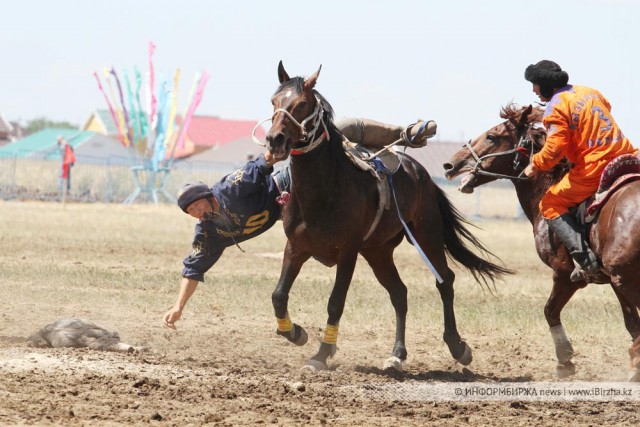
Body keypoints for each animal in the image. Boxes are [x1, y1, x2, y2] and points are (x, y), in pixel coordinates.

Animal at [264, 61, 510, 372]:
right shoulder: (296, 247)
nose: (275, 139)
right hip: (377, 251)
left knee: (445, 280)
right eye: (274, 101)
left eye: (302, 104)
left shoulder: (348, 252)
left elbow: (335, 302)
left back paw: (458, 346)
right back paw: (397, 353)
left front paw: (322, 353)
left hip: (426, 235)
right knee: (399, 293)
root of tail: (421, 173)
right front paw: (296, 333)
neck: (325, 188)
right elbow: (278, 295)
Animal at [442, 105, 640, 380]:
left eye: (492, 136)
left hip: (626, 279)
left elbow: (550, 310)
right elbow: (631, 323)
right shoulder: (612, 281)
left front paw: (565, 360)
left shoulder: (566, 274)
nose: (451, 164)